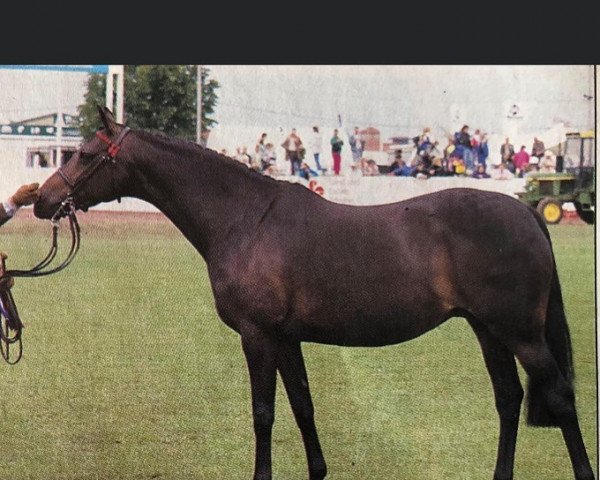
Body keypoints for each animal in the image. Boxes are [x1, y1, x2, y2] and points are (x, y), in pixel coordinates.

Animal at [34, 109, 596, 480]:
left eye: (84, 154)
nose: (40, 200)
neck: (245, 218)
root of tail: (526, 211)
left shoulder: (258, 336)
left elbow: (264, 413)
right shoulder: (287, 339)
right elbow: (303, 406)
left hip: (521, 334)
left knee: (560, 397)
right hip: (488, 330)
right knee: (509, 399)